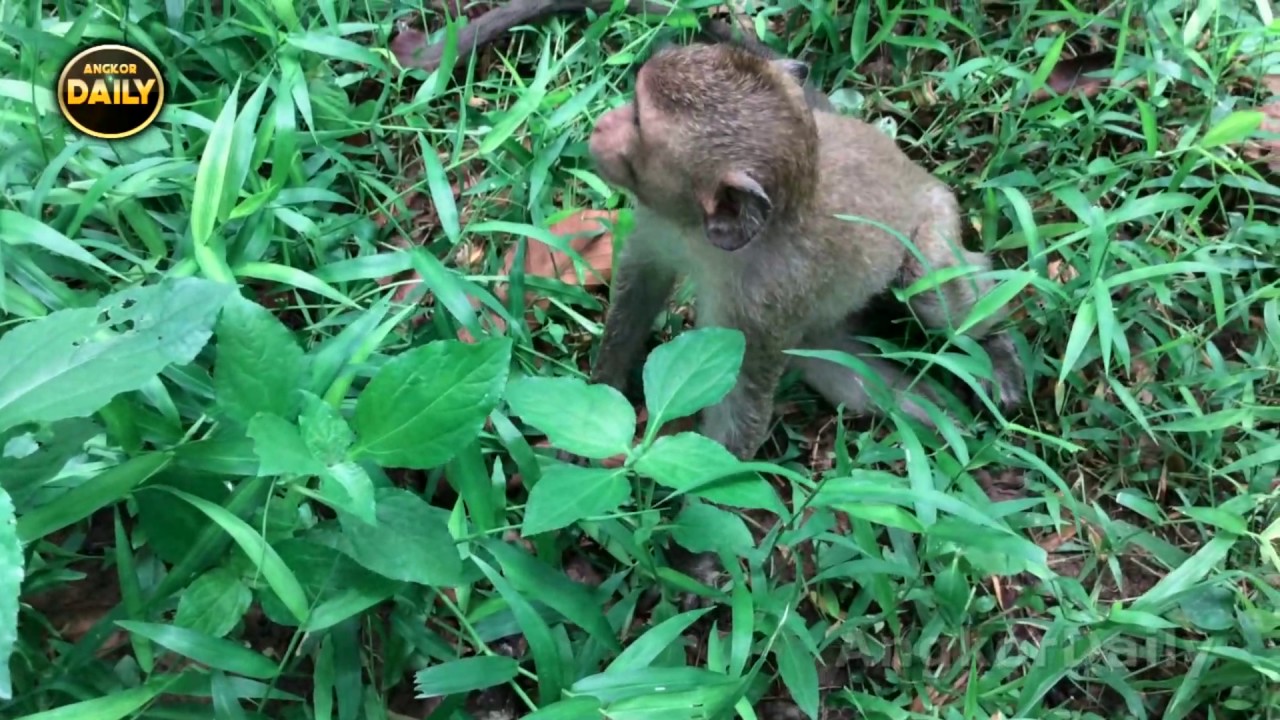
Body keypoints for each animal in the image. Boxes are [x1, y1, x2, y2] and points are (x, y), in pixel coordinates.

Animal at [583, 42, 1025, 460]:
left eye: (637, 119)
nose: (601, 124)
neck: (702, 236)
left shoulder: (761, 306)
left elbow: (740, 404)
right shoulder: (659, 220)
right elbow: (640, 287)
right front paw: (602, 395)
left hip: (938, 214)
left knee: (931, 289)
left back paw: (995, 350)